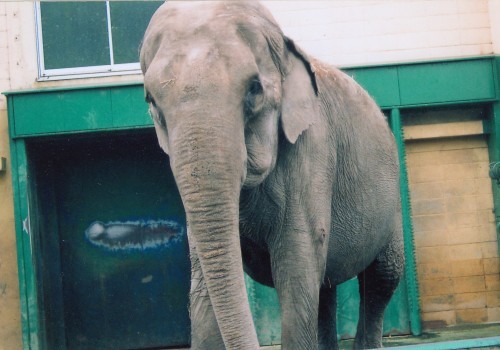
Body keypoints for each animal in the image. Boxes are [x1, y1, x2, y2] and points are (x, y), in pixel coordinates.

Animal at [139, 1, 404, 348]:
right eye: (151, 101)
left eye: (254, 88)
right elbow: (204, 280)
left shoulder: (312, 150)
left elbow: (297, 263)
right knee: (325, 290)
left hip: (393, 202)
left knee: (382, 277)